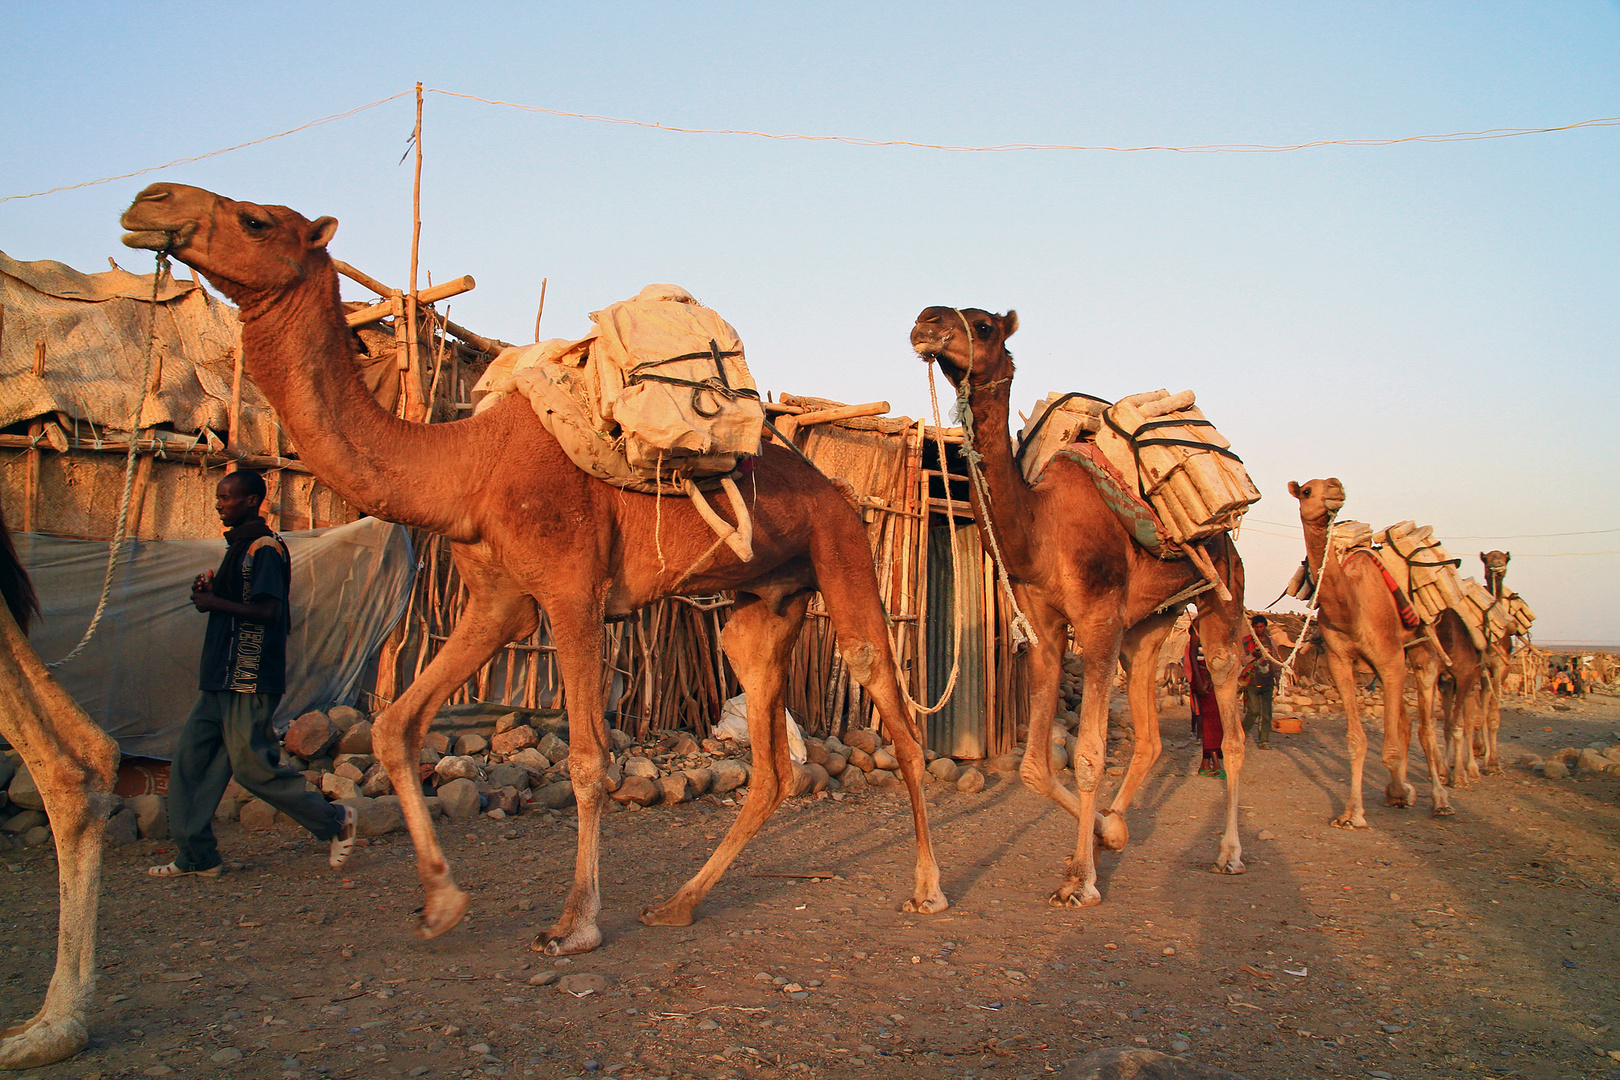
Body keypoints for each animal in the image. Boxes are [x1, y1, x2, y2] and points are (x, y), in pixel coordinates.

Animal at [123, 183, 946, 952]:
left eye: (256, 219)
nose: (148, 203)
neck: (469, 467)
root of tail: (839, 490)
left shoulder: (573, 589)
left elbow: (586, 761)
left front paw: (574, 923)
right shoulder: (500, 602)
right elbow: (395, 724)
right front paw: (441, 902)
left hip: (844, 556)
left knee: (896, 714)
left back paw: (927, 889)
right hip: (762, 607)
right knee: (772, 762)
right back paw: (677, 904)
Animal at [907, 304, 1244, 906]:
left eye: (984, 325)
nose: (927, 321)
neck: (1043, 530)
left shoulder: (1097, 619)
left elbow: (1087, 757)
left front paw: (1081, 880)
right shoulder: (1046, 628)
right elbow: (1033, 769)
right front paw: (1104, 838)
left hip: (1220, 600)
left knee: (1231, 730)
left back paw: (1229, 853)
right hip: (1147, 628)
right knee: (1151, 738)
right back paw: (1119, 825)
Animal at [1289, 476, 1458, 822]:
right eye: (1307, 491)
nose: (1335, 486)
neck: (1352, 609)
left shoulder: (1390, 659)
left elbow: (1390, 748)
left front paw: (1395, 793)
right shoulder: (1341, 662)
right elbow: (1357, 741)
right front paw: (1352, 812)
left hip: (1422, 647)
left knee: (1425, 729)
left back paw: (1440, 800)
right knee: (1405, 723)